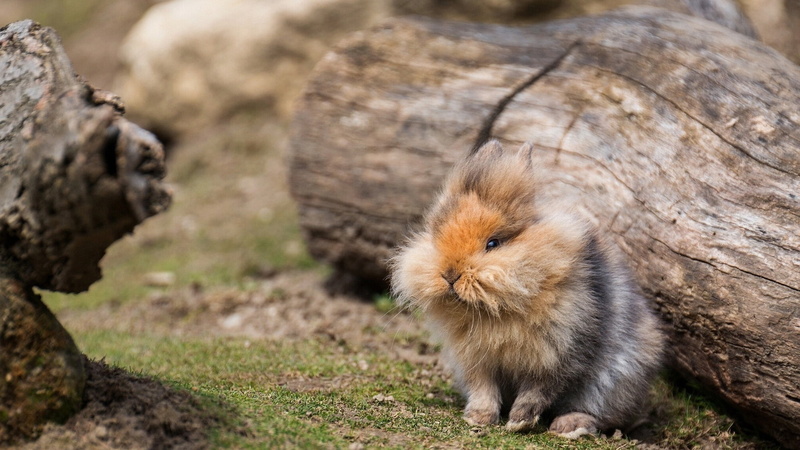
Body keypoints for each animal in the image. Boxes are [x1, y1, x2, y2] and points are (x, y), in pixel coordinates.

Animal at [390, 139, 664, 438]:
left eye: (493, 243)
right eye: (437, 234)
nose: (450, 275)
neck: (496, 310)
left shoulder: (560, 354)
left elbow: (537, 391)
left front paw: (519, 422)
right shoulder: (476, 360)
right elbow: (483, 388)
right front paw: (479, 418)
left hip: (614, 380)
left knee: (598, 413)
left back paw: (567, 427)